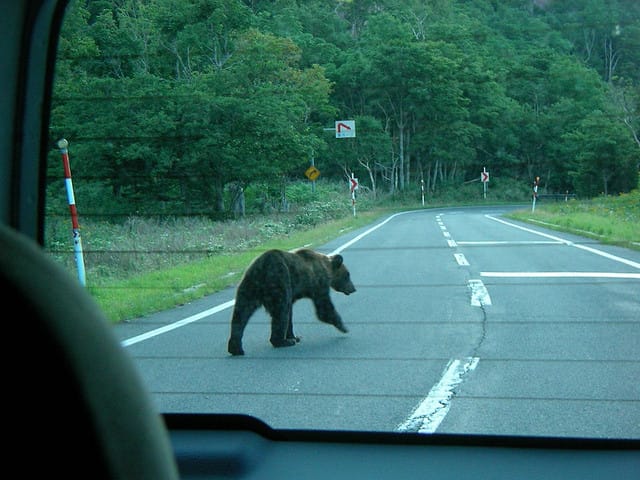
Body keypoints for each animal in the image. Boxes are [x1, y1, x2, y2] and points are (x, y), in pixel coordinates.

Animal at [226, 248, 358, 356]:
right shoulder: (318, 283)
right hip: (280, 279)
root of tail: (262, 268)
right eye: (347, 275)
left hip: (248, 286)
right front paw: (343, 326)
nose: (353, 288)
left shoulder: (295, 293)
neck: (326, 268)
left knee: (241, 313)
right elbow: (323, 307)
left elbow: (290, 314)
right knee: (281, 311)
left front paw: (295, 336)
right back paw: (282, 341)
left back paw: (236, 348)